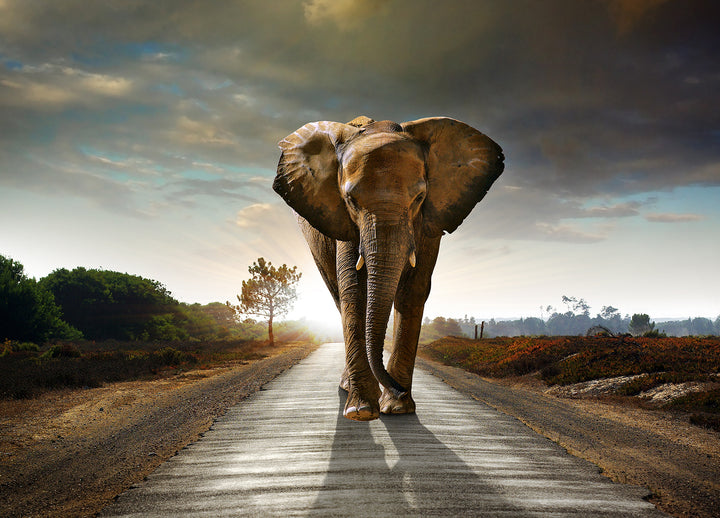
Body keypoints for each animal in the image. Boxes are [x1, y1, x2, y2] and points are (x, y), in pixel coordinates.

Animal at [273, 115, 504, 421]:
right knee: (337, 294)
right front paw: (361, 411)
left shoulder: (429, 220)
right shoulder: (344, 221)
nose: (398, 389)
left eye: (419, 198)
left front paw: (397, 408)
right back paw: (349, 388)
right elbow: (354, 290)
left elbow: (413, 290)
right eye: (351, 200)